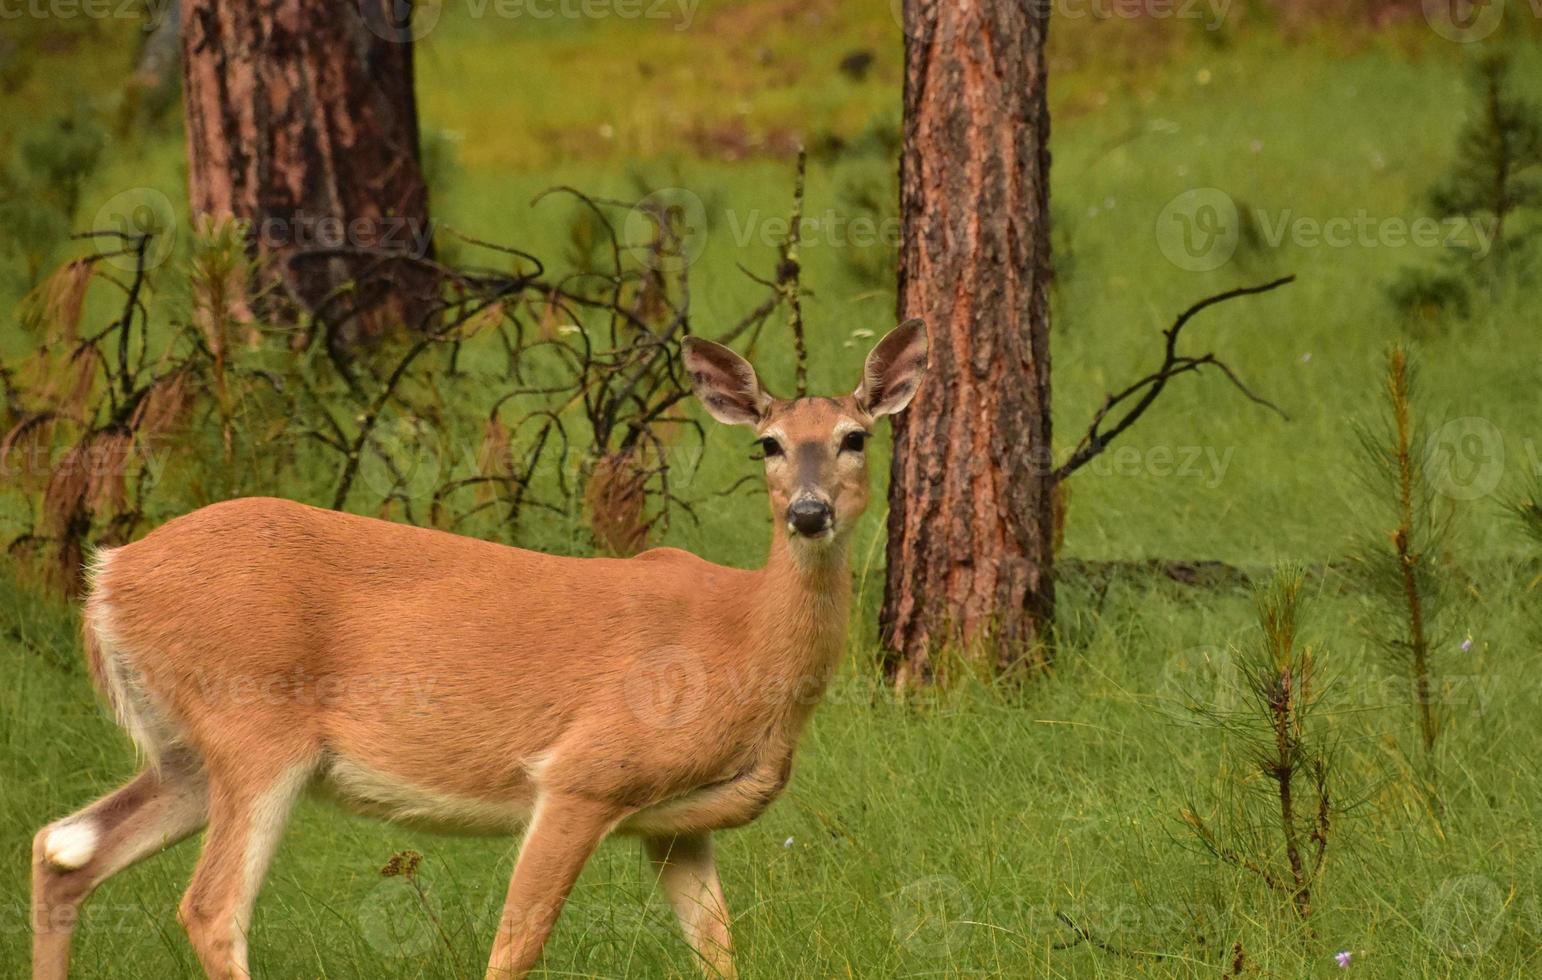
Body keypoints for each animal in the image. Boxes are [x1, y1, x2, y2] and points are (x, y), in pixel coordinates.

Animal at [30, 317, 925, 973]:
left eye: (856, 437)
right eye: (767, 443)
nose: (808, 512)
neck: (744, 642)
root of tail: (107, 577)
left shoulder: (675, 824)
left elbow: (719, 952)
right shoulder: (585, 773)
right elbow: (516, 946)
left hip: (185, 750)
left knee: (64, 849)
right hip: (252, 725)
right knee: (212, 908)